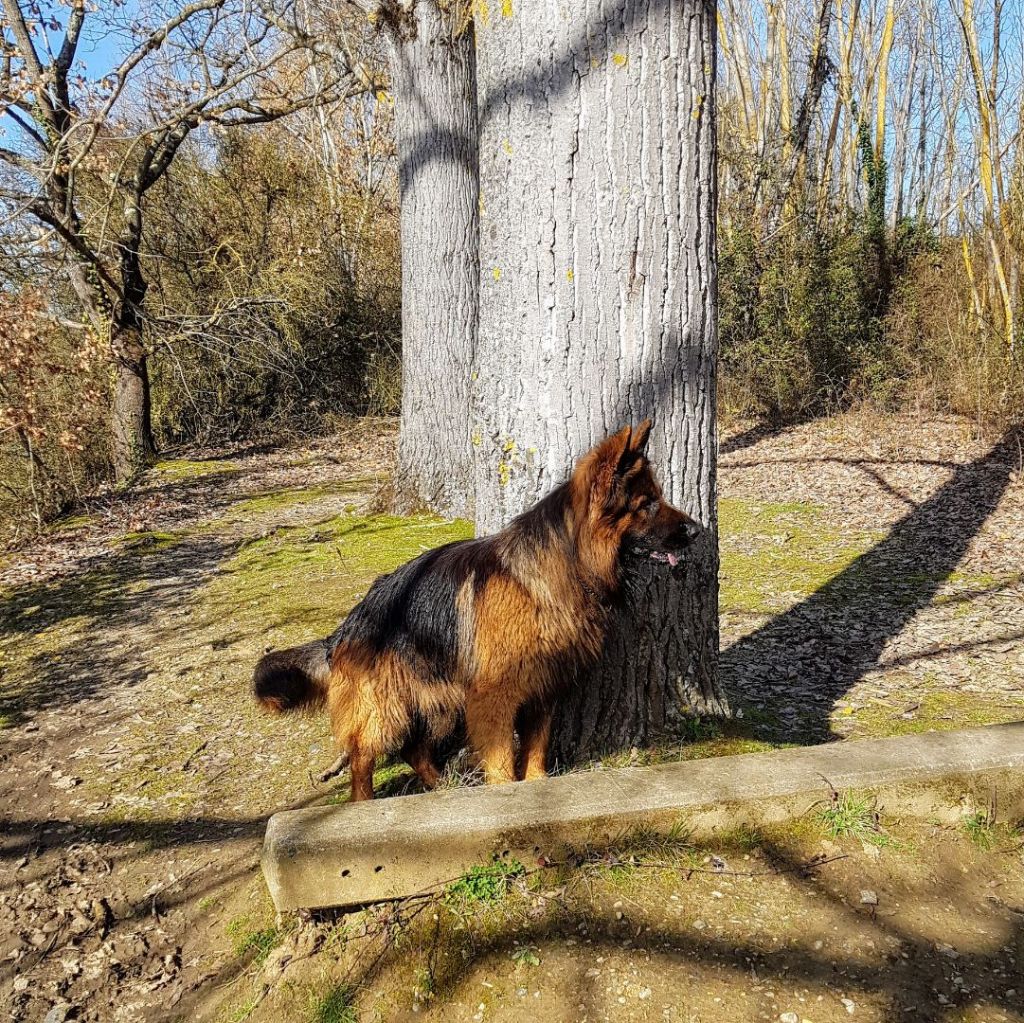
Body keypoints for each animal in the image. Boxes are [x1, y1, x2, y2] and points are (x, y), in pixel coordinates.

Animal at [252, 423, 700, 798]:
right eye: (647, 504)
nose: (697, 532)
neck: (562, 566)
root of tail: (345, 626)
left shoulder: (542, 691)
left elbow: (535, 751)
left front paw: (536, 786)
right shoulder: (494, 697)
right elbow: (501, 761)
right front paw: (503, 797)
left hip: (436, 697)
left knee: (414, 750)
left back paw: (444, 788)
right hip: (389, 706)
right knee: (363, 755)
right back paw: (365, 803)